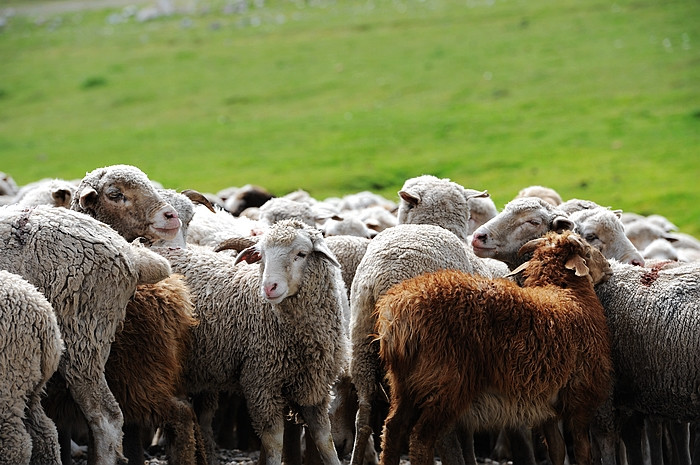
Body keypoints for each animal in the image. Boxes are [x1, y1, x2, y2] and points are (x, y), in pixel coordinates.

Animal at [154, 218, 348, 464]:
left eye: (301, 254)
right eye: (261, 256)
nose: (269, 287)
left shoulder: (315, 388)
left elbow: (325, 440)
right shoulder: (260, 382)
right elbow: (274, 442)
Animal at [378, 230, 612, 464]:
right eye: (588, 252)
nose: (609, 266)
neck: (567, 294)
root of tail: (402, 310)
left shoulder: (547, 406)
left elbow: (557, 449)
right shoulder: (580, 398)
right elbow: (582, 452)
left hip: (404, 382)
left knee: (393, 427)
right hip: (446, 383)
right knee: (421, 437)